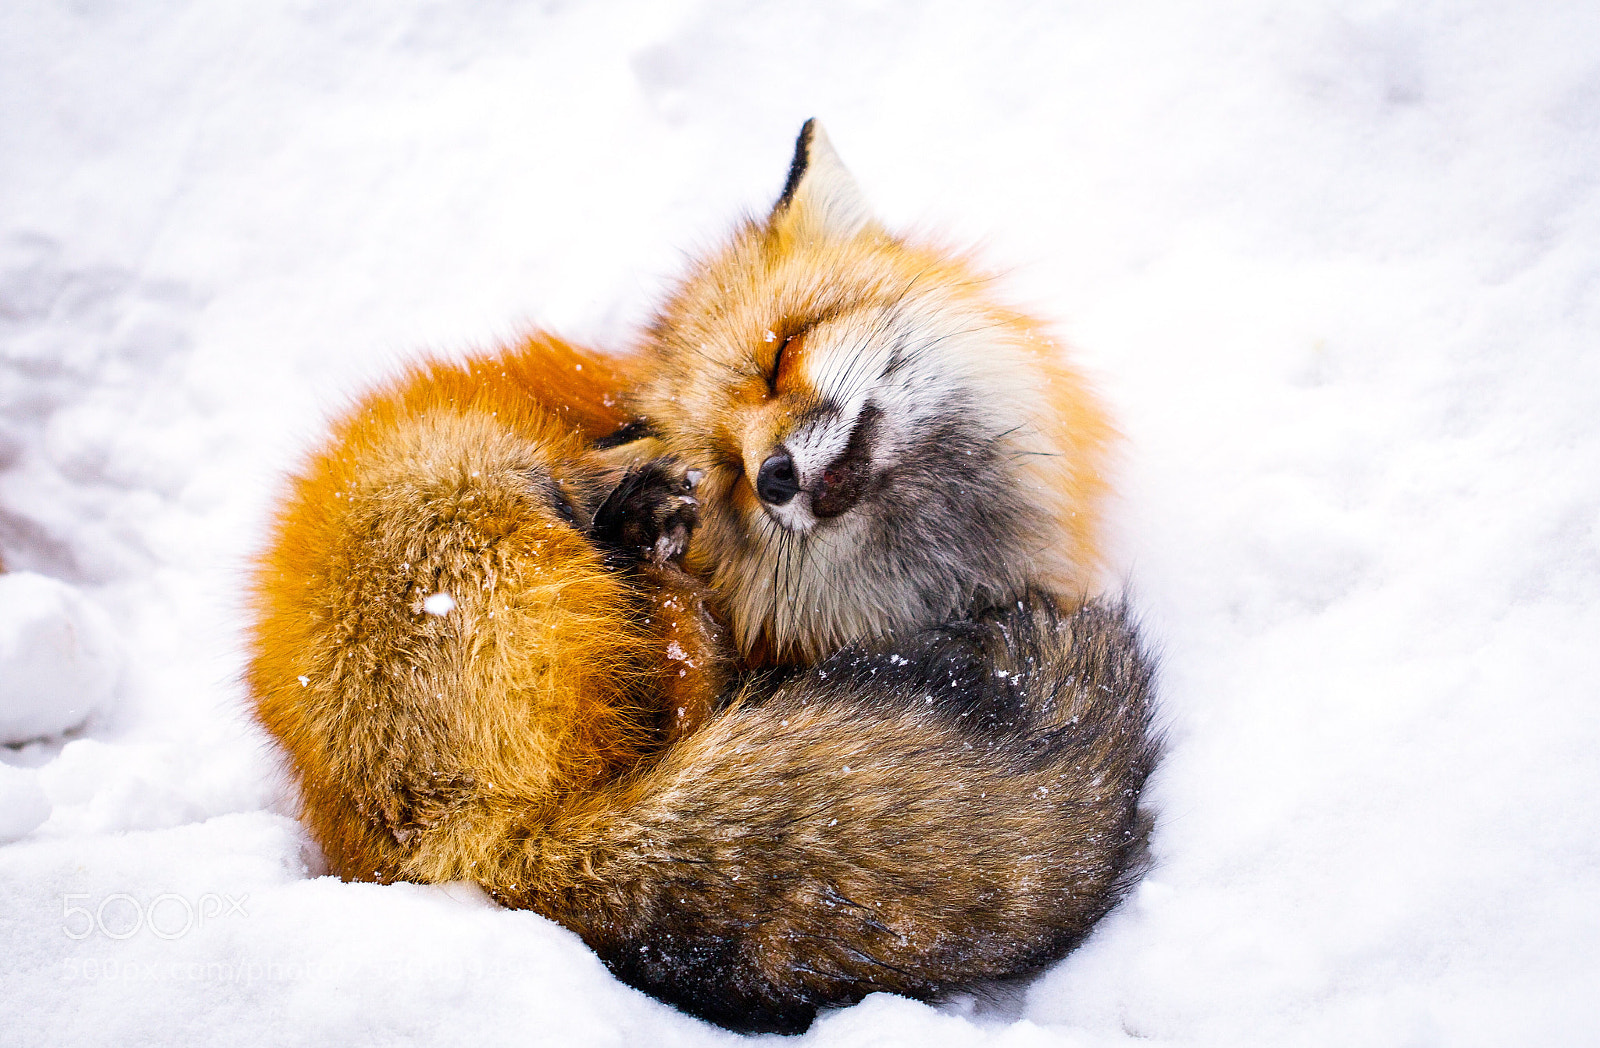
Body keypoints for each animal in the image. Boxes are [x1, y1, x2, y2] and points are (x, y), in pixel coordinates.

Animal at [247, 121, 1158, 1035]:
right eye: (727, 470)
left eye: (780, 355)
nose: (776, 475)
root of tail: (447, 834)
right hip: (484, 489)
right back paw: (634, 534)